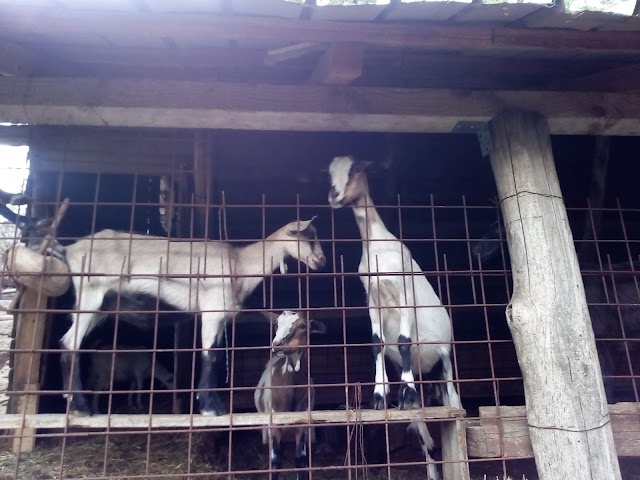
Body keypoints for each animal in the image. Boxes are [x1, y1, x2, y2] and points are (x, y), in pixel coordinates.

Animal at [56, 218, 324, 416]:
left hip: (100, 306)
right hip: (90, 295)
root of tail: (70, 249)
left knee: (69, 342)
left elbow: (215, 356)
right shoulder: (212, 311)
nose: (321, 261)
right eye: (309, 236)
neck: (239, 264)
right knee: (70, 344)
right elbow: (210, 356)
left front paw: (215, 404)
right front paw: (210, 407)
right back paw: (79, 406)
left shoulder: (221, 317)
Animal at [254, 312, 324, 480]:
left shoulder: (303, 420)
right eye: (276, 324)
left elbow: (300, 458)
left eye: (302, 326)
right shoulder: (274, 420)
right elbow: (275, 460)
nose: (277, 343)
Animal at [330, 157, 460, 480]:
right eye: (329, 173)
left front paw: (405, 392)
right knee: (425, 437)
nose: (334, 196)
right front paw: (379, 396)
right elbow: (377, 342)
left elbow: (403, 341)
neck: (377, 243)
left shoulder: (403, 292)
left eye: (356, 169)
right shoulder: (372, 298)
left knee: (452, 405)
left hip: (445, 364)